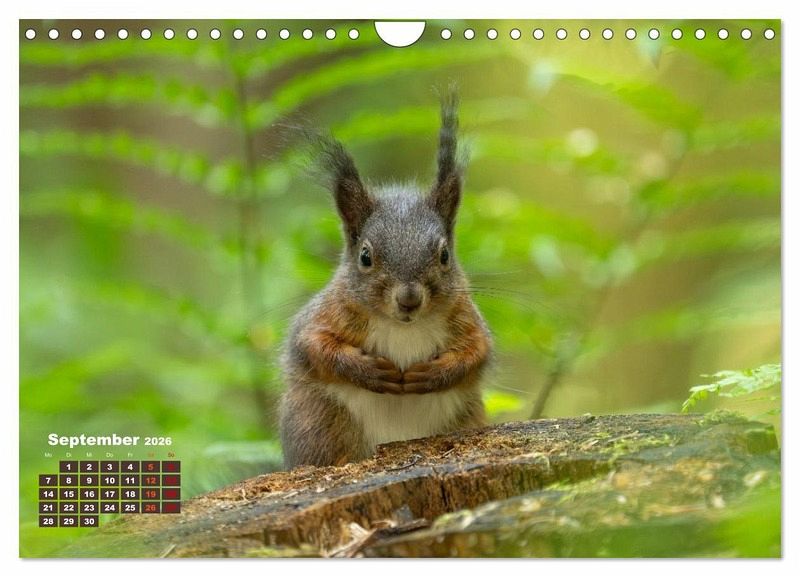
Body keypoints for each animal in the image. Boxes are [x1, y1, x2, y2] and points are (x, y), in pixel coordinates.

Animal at [279, 93, 493, 469]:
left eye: (444, 255)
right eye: (365, 256)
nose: (408, 300)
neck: (403, 328)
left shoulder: (466, 318)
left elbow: (477, 352)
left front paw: (434, 374)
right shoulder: (324, 315)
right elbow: (313, 344)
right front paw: (367, 371)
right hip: (318, 421)